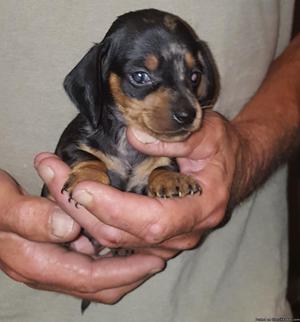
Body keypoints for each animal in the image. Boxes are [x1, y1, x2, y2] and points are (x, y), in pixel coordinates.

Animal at [43, 8, 218, 204]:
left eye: (195, 76)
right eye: (140, 76)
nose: (187, 115)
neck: (127, 146)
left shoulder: (161, 162)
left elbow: (162, 166)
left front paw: (171, 179)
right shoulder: (69, 146)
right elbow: (87, 156)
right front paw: (89, 176)